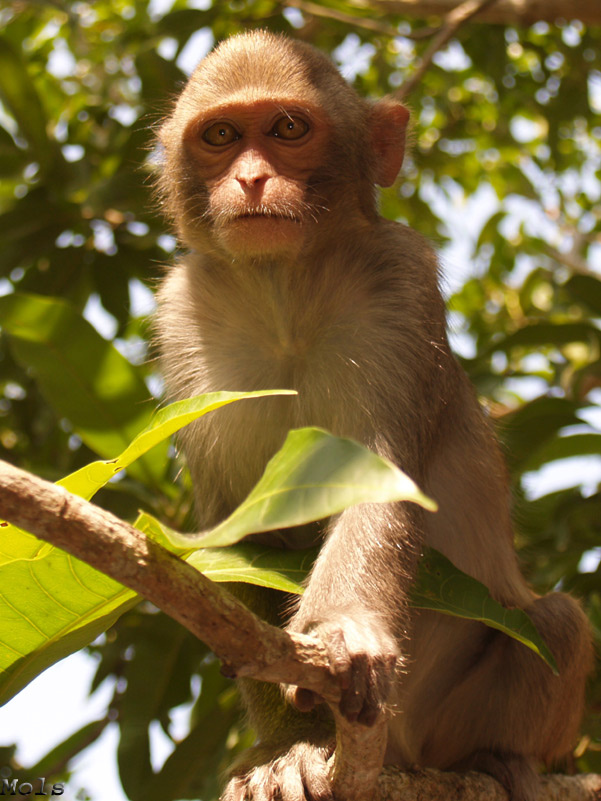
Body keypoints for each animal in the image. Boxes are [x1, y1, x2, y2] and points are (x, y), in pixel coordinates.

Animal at [154, 30, 593, 801]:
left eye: (287, 128)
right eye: (221, 135)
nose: (251, 179)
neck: (285, 293)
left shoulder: (401, 282)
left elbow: (379, 472)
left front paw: (343, 628)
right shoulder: (182, 316)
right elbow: (243, 536)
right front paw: (287, 747)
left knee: (558, 623)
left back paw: (497, 758)